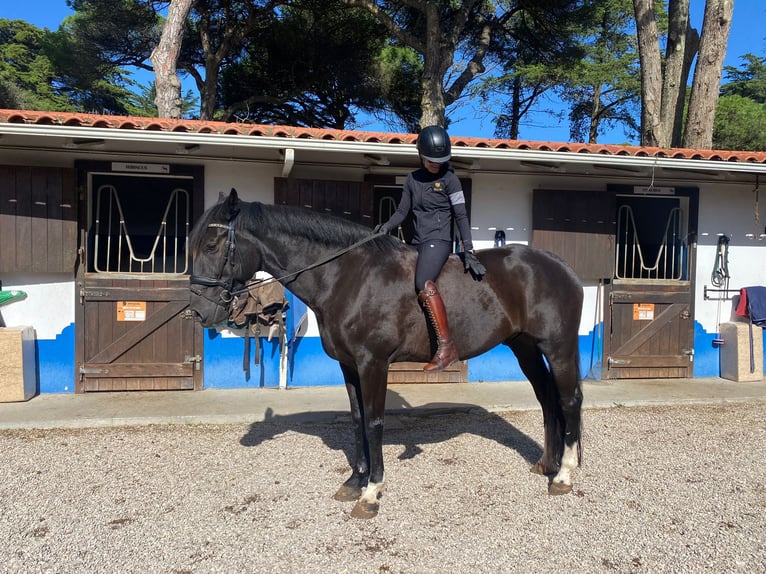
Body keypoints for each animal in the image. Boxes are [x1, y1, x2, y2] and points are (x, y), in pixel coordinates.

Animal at [189, 188, 584, 519]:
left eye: (211, 245)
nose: (198, 312)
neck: (347, 277)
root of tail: (563, 268)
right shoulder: (349, 366)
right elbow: (356, 419)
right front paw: (354, 481)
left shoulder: (373, 364)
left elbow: (375, 421)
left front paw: (371, 492)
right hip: (524, 347)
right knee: (547, 399)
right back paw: (545, 464)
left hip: (559, 347)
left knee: (568, 400)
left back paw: (564, 474)